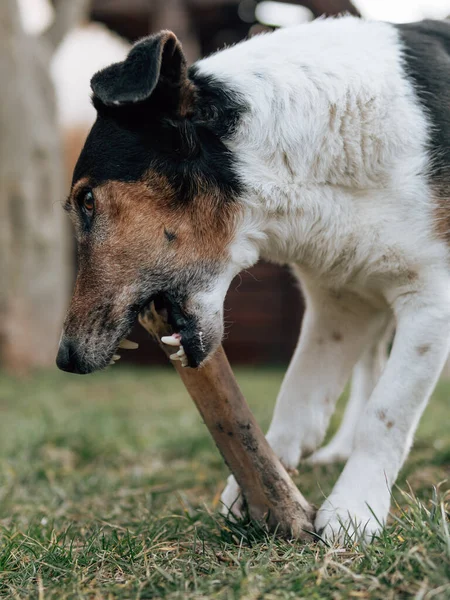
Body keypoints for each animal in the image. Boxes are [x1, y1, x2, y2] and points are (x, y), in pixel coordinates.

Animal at [56, 17, 450, 544]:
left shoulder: (429, 298)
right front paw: (263, 485)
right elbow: (298, 397)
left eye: (87, 201)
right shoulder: (341, 303)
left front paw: (353, 511)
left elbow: (387, 413)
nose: (65, 360)